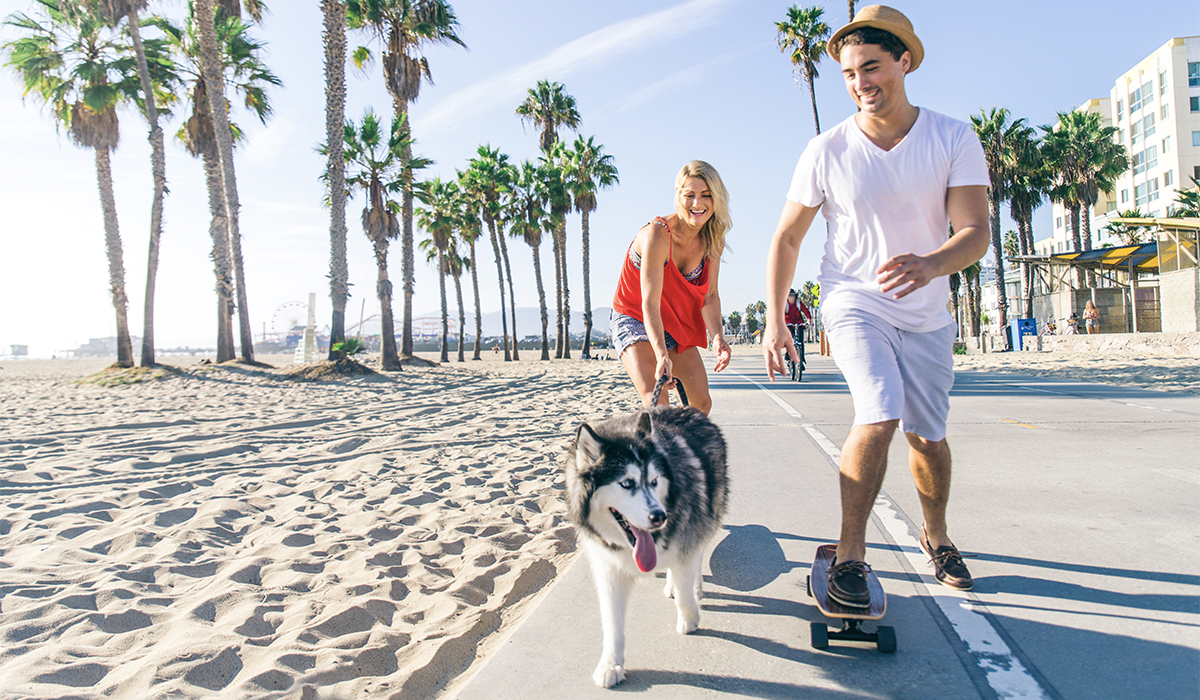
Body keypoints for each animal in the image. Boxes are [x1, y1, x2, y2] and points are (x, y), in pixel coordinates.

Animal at [564, 381, 724, 686]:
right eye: (627, 483)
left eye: (654, 481)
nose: (659, 517)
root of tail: (686, 409)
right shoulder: (608, 568)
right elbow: (612, 621)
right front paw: (610, 664)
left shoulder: (686, 535)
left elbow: (685, 576)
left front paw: (689, 616)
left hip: (708, 510)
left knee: (698, 552)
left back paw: (694, 586)